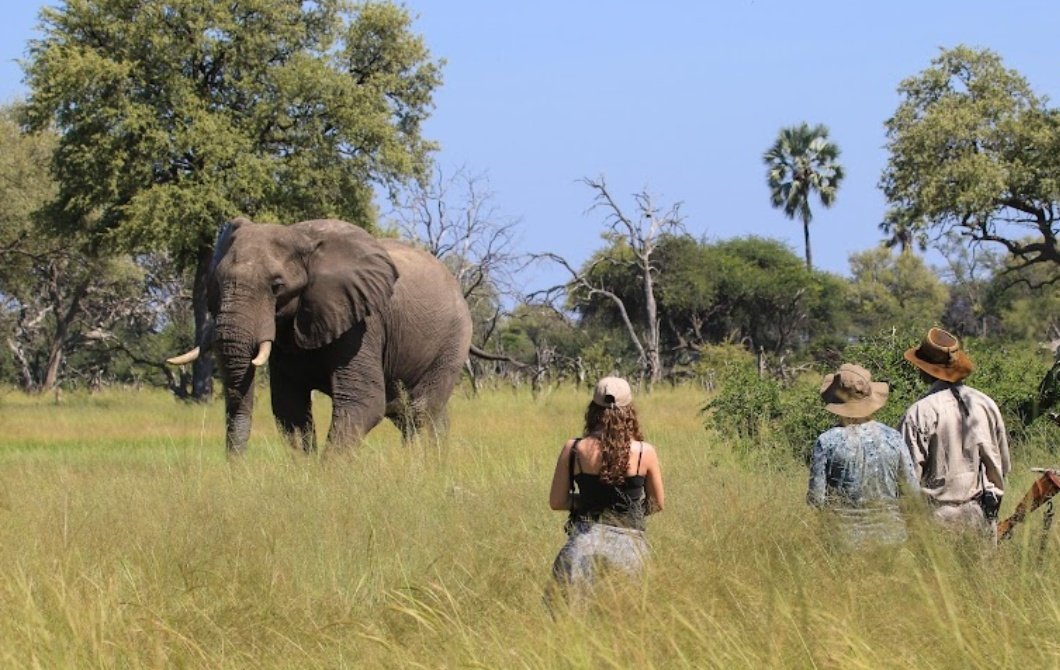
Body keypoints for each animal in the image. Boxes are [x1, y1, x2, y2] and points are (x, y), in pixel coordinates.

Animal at [168, 217, 473, 454]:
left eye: (277, 287)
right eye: (216, 283)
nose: (236, 469)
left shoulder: (362, 323)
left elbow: (362, 403)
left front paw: (328, 477)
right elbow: (289, 407)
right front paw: (306, 473)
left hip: (454, 338)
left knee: (420, 411)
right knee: (412, 413)